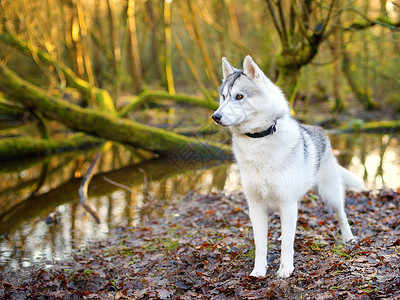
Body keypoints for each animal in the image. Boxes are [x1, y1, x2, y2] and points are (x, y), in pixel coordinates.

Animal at [212, 55, 366, 278]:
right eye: (223, 97)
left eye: (239, 96)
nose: (215, 116)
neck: (260, 139)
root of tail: (319, 129)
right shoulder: (256, 206)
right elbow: (260, 244)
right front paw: (259, 270)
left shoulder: (287, 202)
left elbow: (288, 244)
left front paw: (286, 269)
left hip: (329, 193)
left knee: (341, 213)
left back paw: (348, 237)